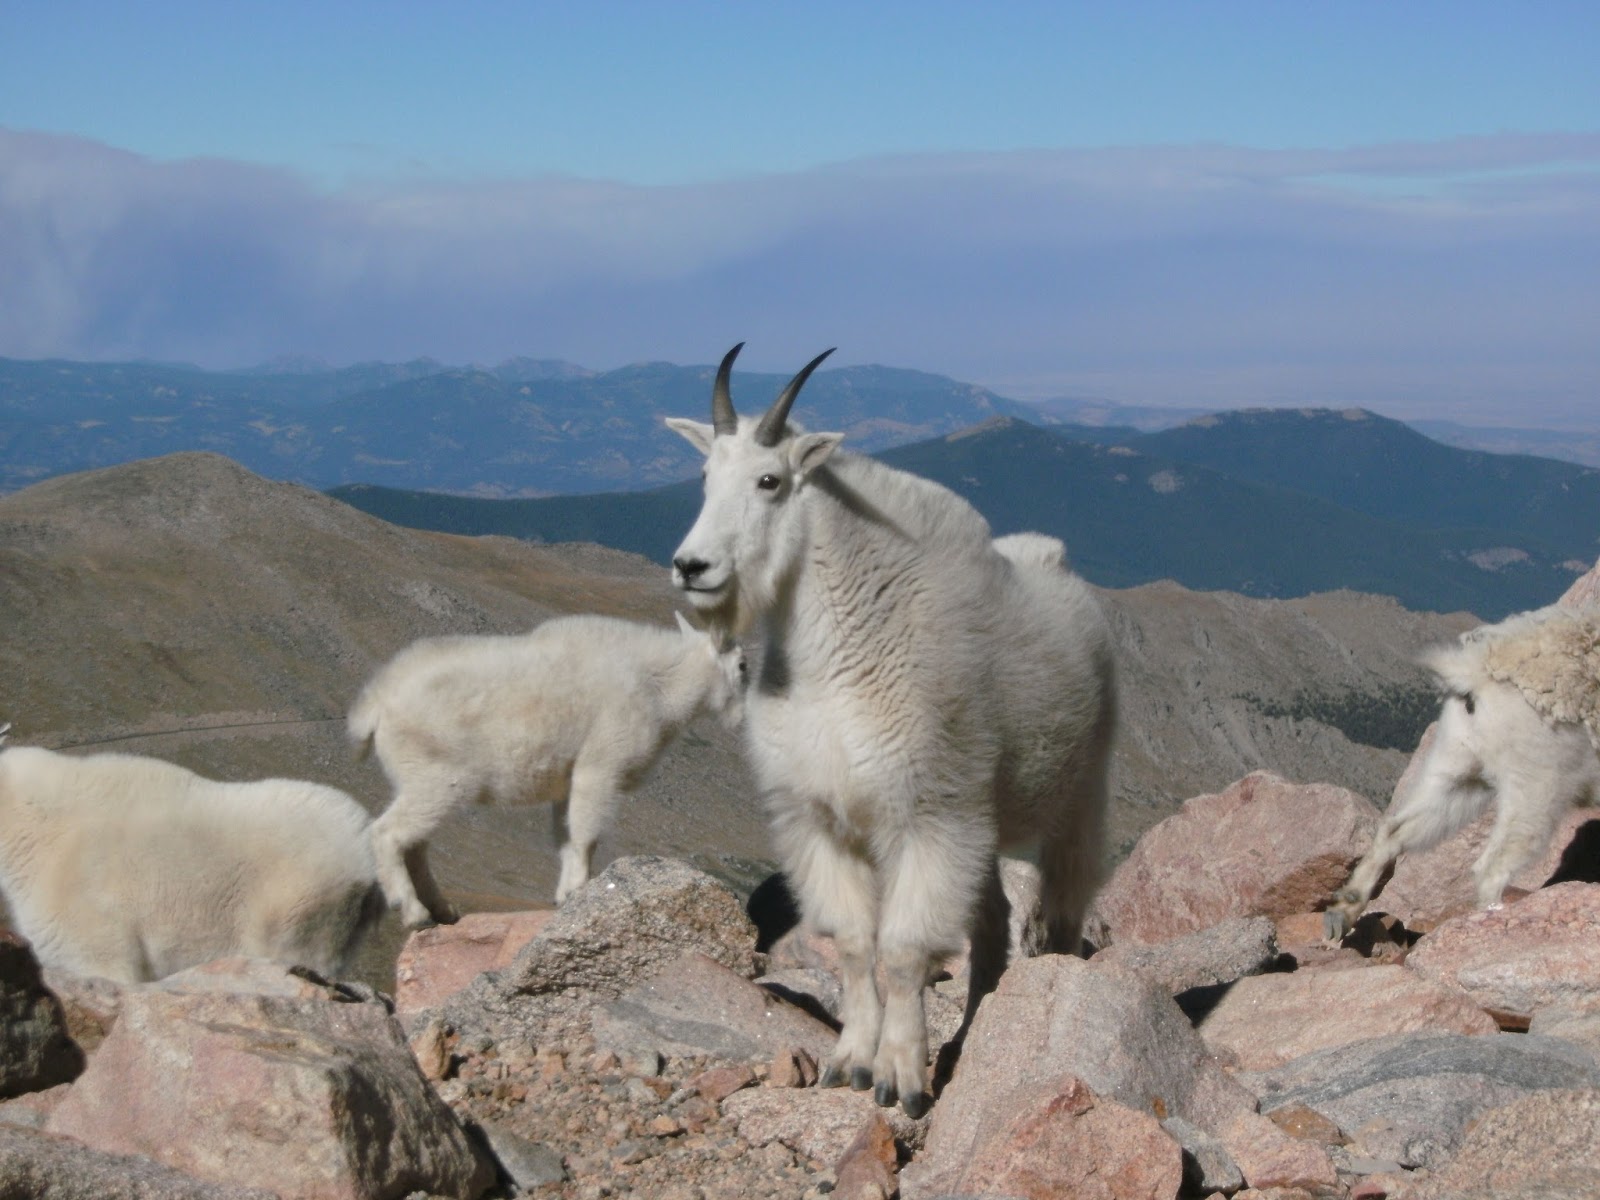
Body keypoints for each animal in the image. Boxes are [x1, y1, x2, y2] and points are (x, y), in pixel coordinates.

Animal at [350, 612, 746, 928]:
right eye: (743, 667)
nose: (742, 721)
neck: (659, 686)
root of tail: (375, 705)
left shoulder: (566, 782)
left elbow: (566, 837)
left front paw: (564, 897)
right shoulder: (599, 768)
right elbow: (586, 836)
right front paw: (580, 890)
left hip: (422, 783)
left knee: (414, 846)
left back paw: (442, 910)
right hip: (437, 780)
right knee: (386, 834)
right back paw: (413, 912)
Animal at [667, 345, 1116, 1117]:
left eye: (769, 480)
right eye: (703, 477)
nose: (692, 567)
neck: (834, 659)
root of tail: (1062, 569)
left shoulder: (929, 817)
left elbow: (903, 953)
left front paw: (901, 1079)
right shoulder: (821, 820)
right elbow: (854, 944)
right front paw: (850, 1061)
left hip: (1078, 793)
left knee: (1061, 904)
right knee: (992, 927)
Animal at [1325, 603, 1600, 938]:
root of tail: (1474, 678)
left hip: (1456, 765)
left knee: (1396, 829)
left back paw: (1342, 911)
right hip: (1537, 784)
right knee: (1492, 866)